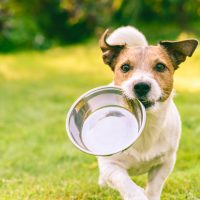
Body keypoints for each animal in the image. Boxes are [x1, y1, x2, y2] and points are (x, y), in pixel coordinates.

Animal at [97, 25, 198, 199]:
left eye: (160, 66)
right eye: (125, 67)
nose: (141, 86)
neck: (146, 124)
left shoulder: (166, 162)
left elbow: (154, 188)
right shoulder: (111, 166)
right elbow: (125, 183)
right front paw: (136, 194)